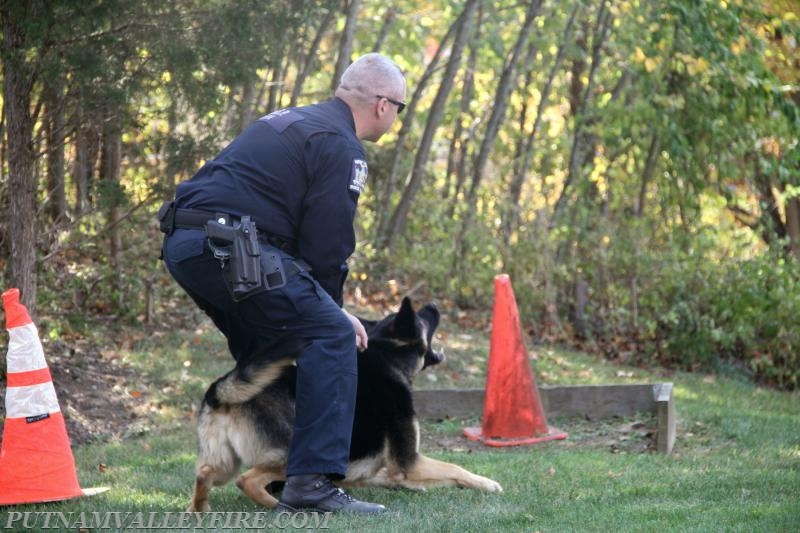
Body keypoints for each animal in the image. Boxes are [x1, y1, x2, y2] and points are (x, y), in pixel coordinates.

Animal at [189, 298, 500, 510]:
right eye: (422, 317)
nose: (434, 304)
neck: (387, 357)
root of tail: (221, 393)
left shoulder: (391, 469)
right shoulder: (410, 462)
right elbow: (456, 468)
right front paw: (488, 483)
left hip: (223, 462)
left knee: (204, 475)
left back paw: (199, 509)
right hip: (289, 453)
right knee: (247, 480)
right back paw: (281, 506)